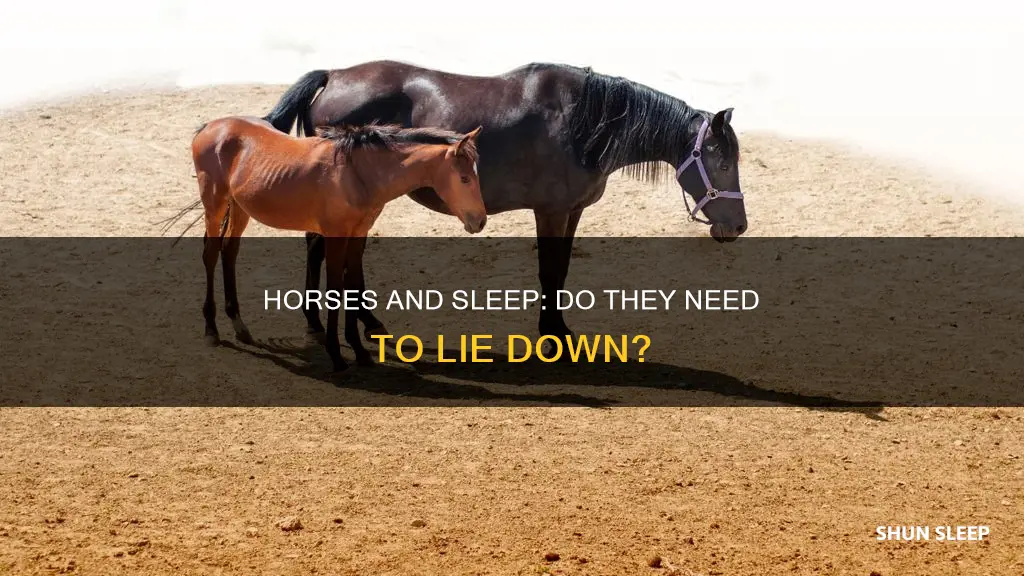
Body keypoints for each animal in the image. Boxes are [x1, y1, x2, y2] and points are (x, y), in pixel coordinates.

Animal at [189, 117, 485, 372]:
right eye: (464, 178)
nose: (480, 221)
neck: (357, 174)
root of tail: (211, 127)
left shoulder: (357, 235)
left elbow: (351, 286)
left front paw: (360, 351)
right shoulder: (335, 235)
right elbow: (334, 288)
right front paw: (336, 354)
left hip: (240, 208)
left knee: (229, 252)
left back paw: (238, 324)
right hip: (214, 205)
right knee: (210, 254)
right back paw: (211, 329)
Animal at [262, 61, 747, 349]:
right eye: (722, 161)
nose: (738, 227)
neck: (583, 123)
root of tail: (335, 75)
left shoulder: (573, 211)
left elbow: (562, 271)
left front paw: (559, 330)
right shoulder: (550, 211)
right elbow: (549, 271)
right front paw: (552, 336)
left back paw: (336, 322)